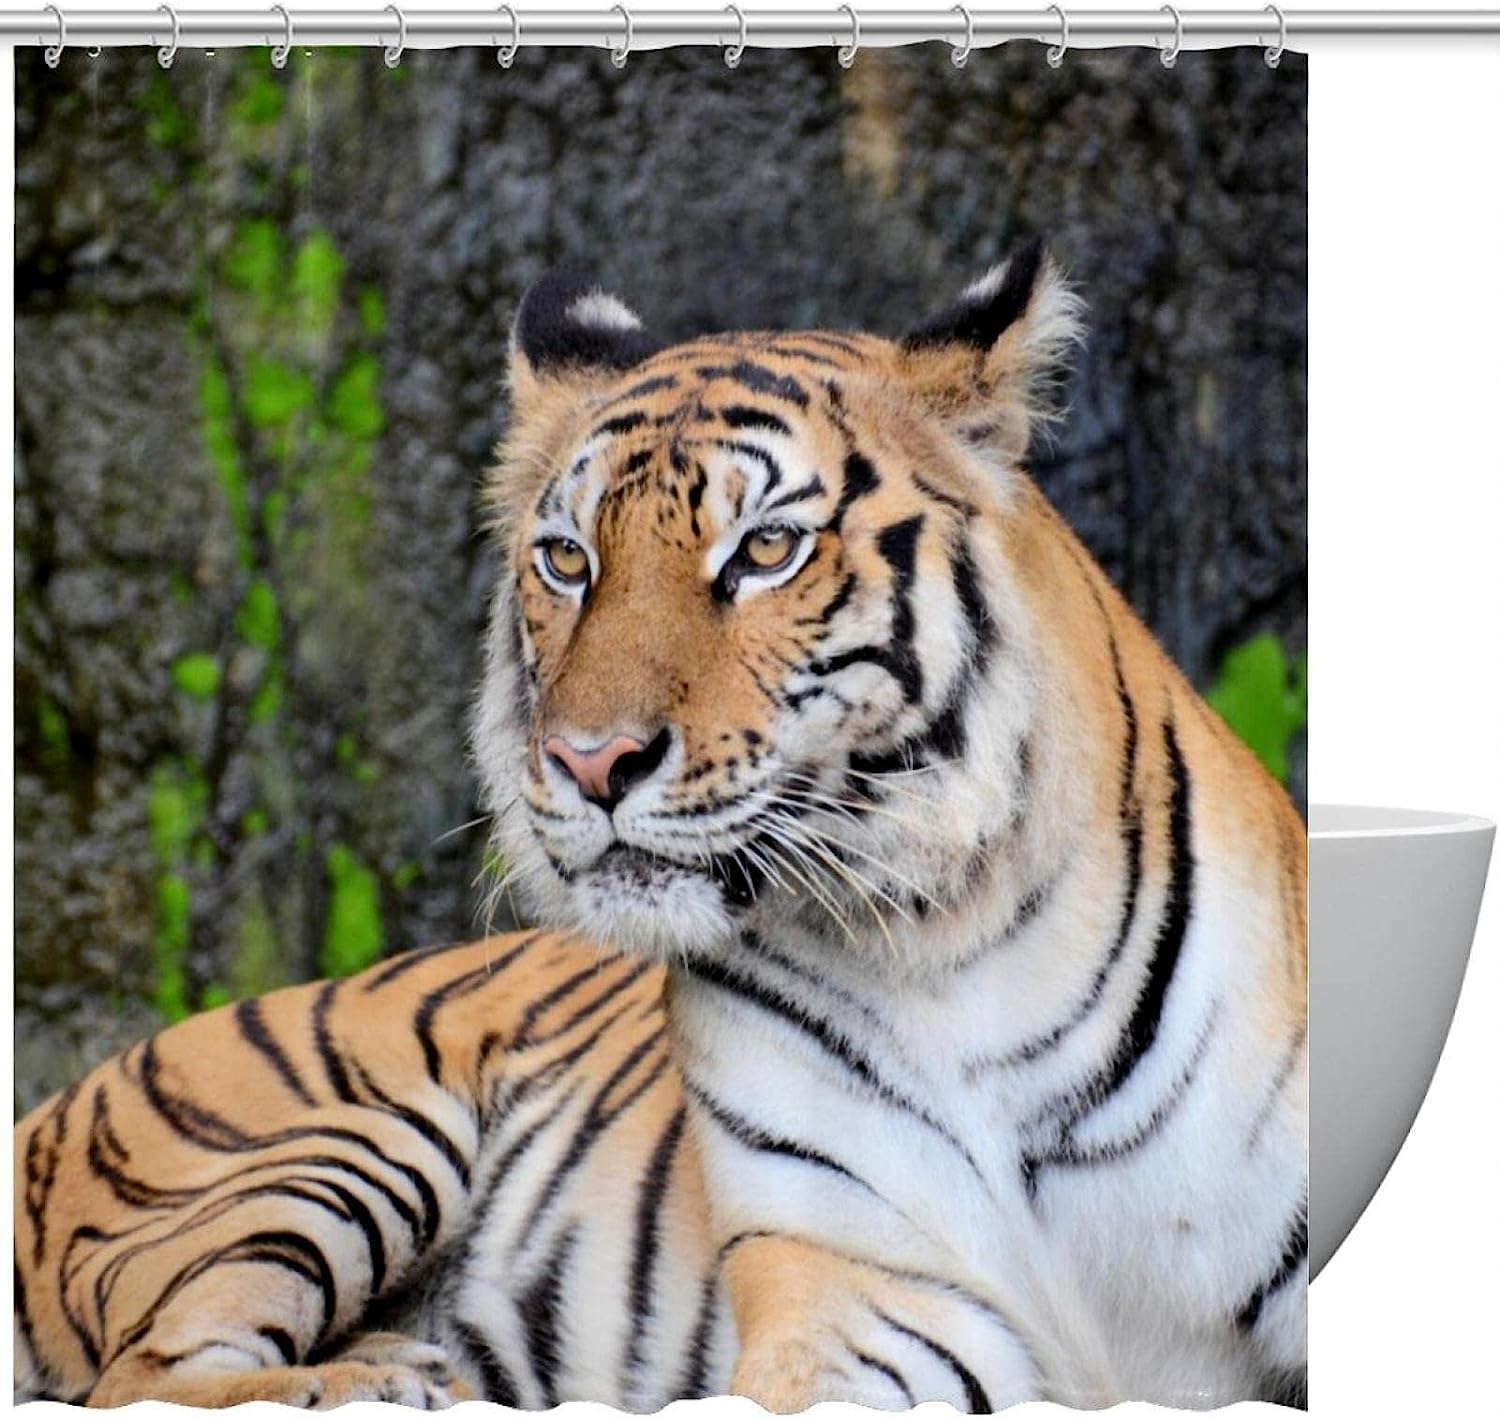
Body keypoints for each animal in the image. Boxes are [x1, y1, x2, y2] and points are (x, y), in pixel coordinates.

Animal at [14, 242, 1309, 1412]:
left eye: (766, 551)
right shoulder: (867, 1295)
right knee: (147, 1376)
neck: (953, 946)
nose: (591, 762)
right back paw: (387, 1382)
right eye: (567, 560)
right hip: (340, 1141)